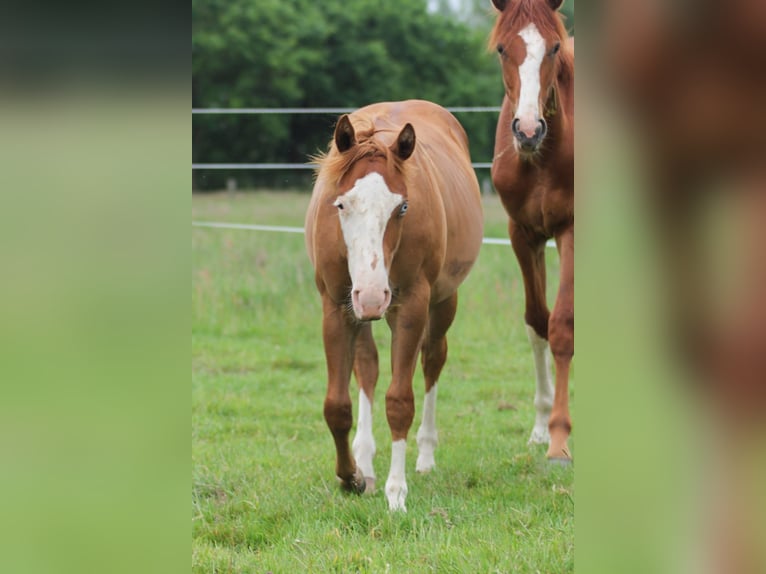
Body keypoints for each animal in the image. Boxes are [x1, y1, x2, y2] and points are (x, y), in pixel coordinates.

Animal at [305, 100, 484, 511]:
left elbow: (400, 400)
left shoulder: (411, 306)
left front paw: (396, 492)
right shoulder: (337, 307)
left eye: (401, 207)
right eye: (341, 204)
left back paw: (425, 456)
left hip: (442, 301)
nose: (373, 295)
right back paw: (366, 460)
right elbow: (336, 406)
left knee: (432, 360)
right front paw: (351, 476)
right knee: (367, 368)